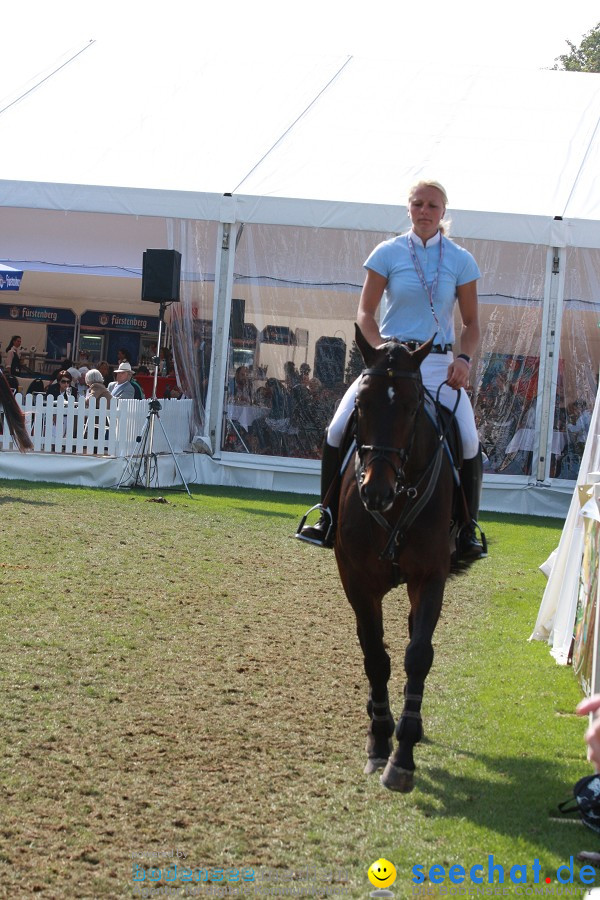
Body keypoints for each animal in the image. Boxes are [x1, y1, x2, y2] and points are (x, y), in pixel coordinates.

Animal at [332, 324, 474, 796]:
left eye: (413, 409)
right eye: (361, 404)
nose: (376, 491)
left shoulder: (430, 578)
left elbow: (417, 655)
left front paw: (403, 754)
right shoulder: (357, 582)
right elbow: (375, 656)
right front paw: (379, 740)